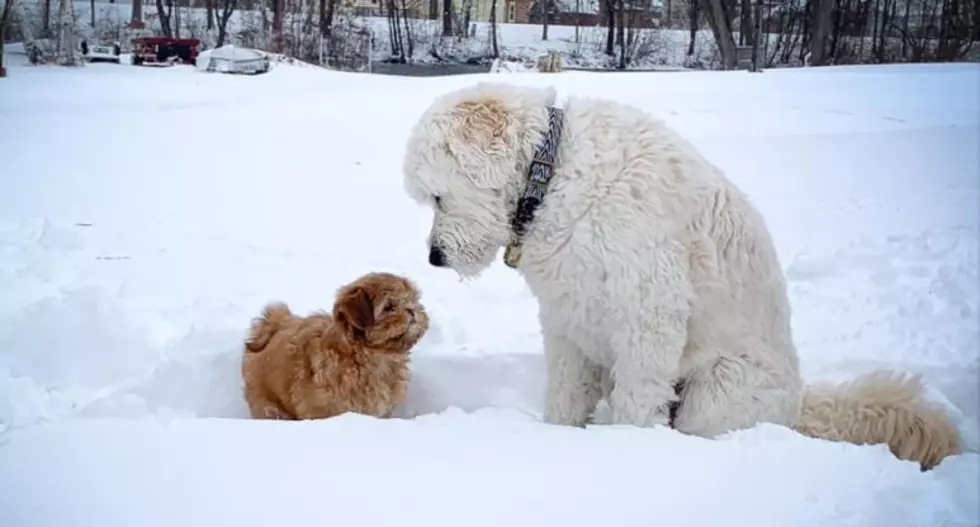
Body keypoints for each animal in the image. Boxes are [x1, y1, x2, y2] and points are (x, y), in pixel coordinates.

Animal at [400, 81, 964, 470]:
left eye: (438, 197)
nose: (434, 257)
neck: (553, 176)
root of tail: (798, 404)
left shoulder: (647, 311)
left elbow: (636, 397)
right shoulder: (566, 321)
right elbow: (565, 394)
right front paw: (556, 437)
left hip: (717, 388)